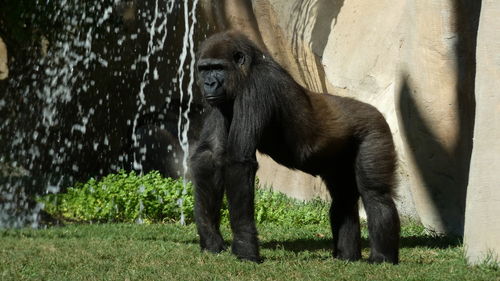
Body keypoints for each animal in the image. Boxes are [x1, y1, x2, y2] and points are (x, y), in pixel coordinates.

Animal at [189, 31, 400, 264]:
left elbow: (238, 162)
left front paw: (244, 246)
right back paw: (347, 256)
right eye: (204, 69)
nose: (208, 83)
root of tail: (377, 112)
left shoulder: (258, 85)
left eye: (218, 68)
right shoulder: (219, 101)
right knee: (343, 199)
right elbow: (210, 156)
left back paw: (382, 257)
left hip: (375, 129)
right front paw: (211, 239)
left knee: (376, 195)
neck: (248, 69)